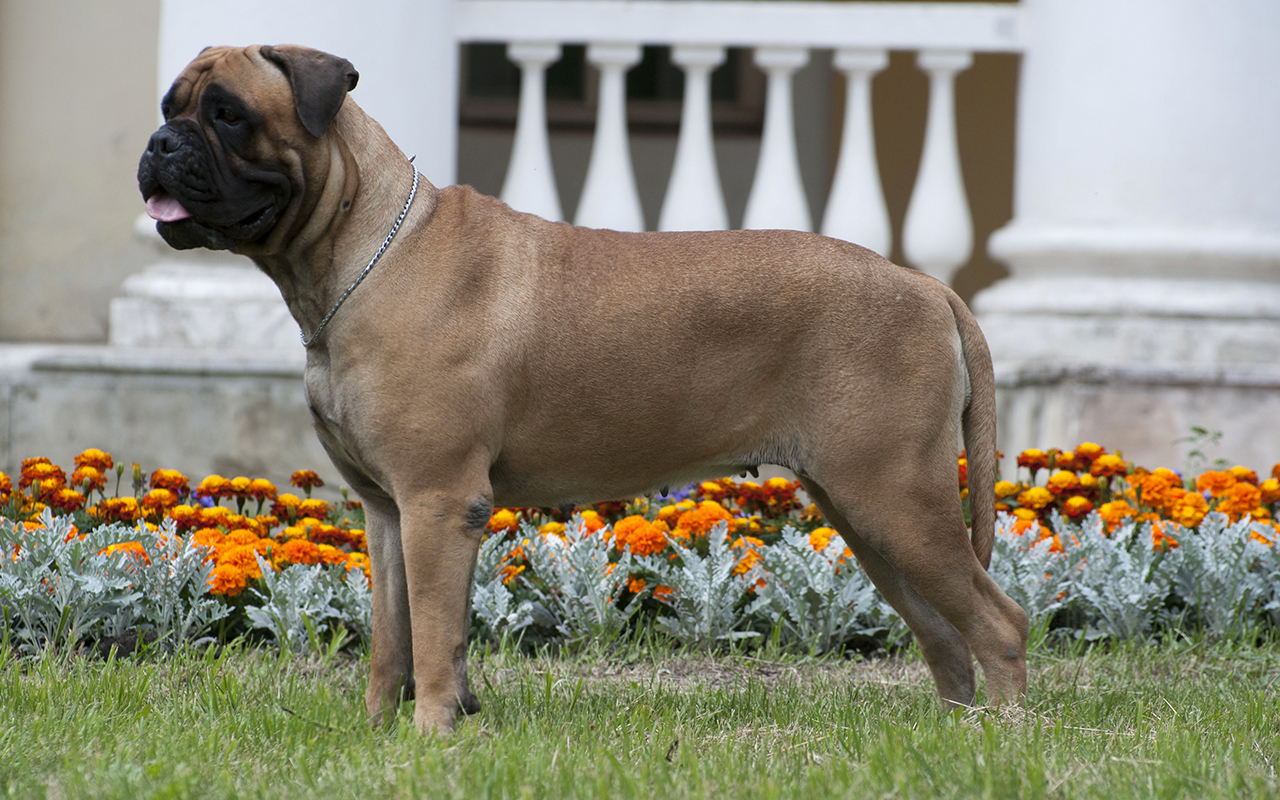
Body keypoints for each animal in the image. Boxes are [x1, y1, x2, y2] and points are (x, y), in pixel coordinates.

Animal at [137, 43, 1029, 732]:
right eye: (169, 104)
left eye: (226, 114)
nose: (158, 144)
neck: (363, 249)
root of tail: (928, 286)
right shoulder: (387, 511)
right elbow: (393, 638)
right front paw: (379, 731)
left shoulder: (436, 502)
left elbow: (434, 633)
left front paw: (431, 735)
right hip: (867, 513)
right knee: (946, 633)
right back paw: (956, 731)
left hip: (895, 498)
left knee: (1001, 623)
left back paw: (1005, 734)